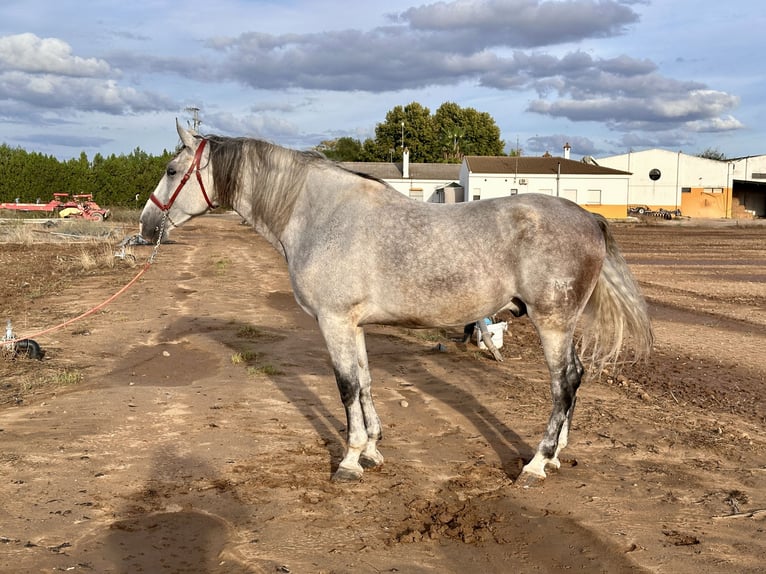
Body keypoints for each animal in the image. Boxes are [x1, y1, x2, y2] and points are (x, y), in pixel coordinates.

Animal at [139, 122, 653, 486]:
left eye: (171, 171)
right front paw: (371, 450)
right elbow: (365, 383)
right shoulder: (352, 325)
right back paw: (556, 456)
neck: (318, 213)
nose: (146, 227)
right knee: (573, 380)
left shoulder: (334, 322)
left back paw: (535, 464)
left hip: (553, 322)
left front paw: (348, 461)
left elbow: (346, 387)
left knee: (564, 383)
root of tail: (589, 217)